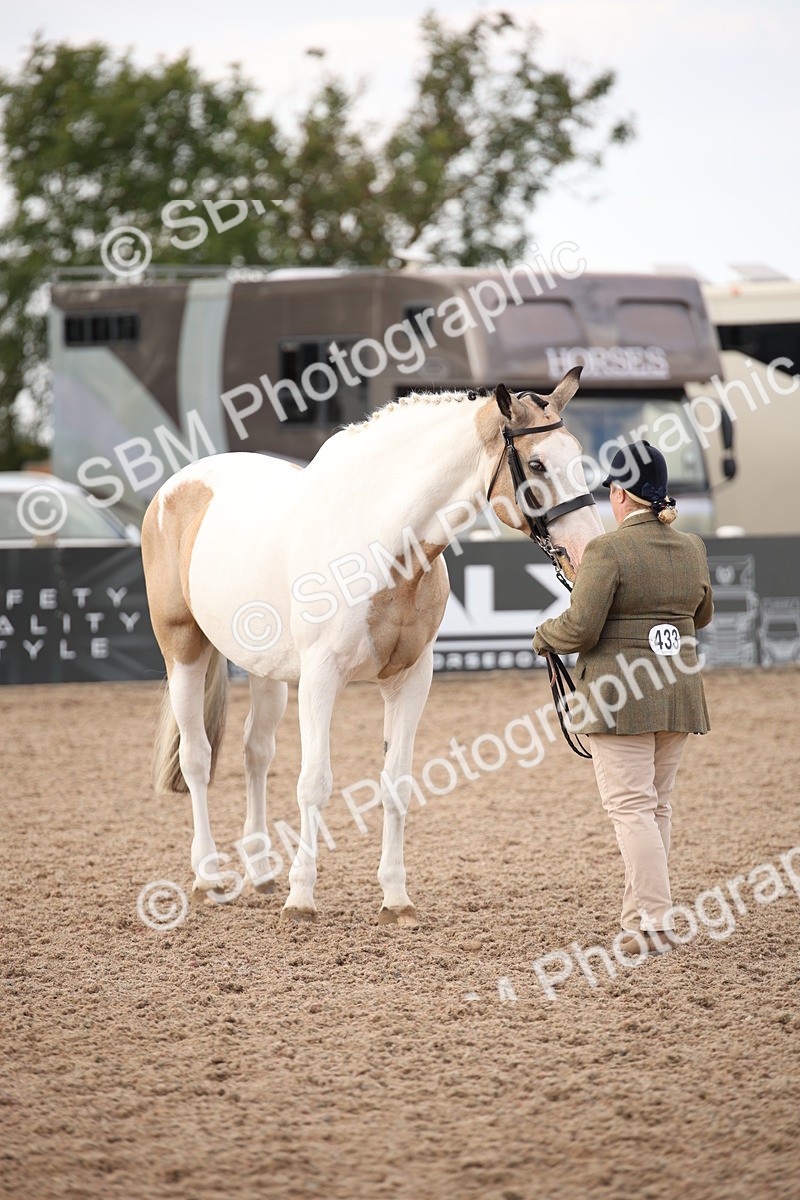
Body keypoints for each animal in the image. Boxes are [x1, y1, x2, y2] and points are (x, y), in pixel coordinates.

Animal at [141, 367, 604, 925]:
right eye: (536, 463)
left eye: (577, 455)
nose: (587, 550)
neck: (381, 544)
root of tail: (178, 486)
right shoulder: (321, 678)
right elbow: (314, 783)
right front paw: (302, 899)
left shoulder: (410, 679)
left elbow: (396, 785)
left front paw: (396, 899)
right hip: (183, 647)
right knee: (196, 758)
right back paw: (210, 874)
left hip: (265, 670)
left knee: (256, 753)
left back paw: (261, 870)